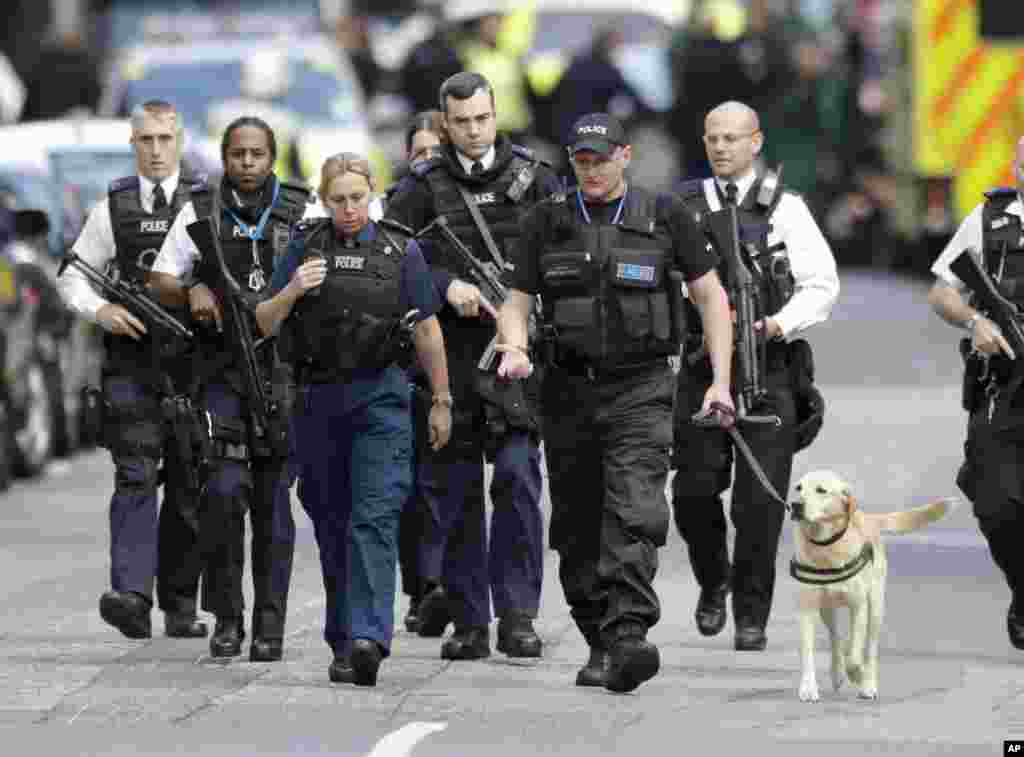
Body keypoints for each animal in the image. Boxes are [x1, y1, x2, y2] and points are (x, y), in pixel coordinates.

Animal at [786, 471, 954, 700]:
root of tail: (869, 518)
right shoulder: (807, 607)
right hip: (826, 609)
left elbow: (856, 655)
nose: (794, 505)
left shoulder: (859, 606)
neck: (827, 547)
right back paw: (837, 672)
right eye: (798, 488)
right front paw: (808, 687)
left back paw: (868, 683)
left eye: (821, 490)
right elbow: (808, 651)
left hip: (875, 608)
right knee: (836, 638)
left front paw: (858, 675)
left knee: (870, 649)